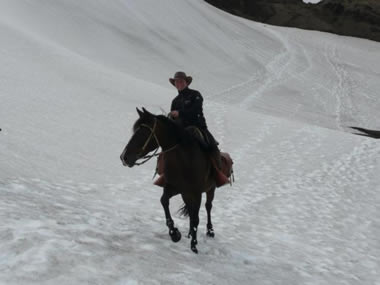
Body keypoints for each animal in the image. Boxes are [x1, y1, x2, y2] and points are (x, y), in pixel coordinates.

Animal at [119, 107, 220, 252]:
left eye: (144, 132)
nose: (124, 157)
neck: (185, 160)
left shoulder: (196, 193)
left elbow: (196, 218)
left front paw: (194, 245)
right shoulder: (174, 188)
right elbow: (164, 201)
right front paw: (174, 233)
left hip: (210, 189)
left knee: (208, 207)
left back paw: (210, 231)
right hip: (186, 194)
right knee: (191, 210)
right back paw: (190, 233)